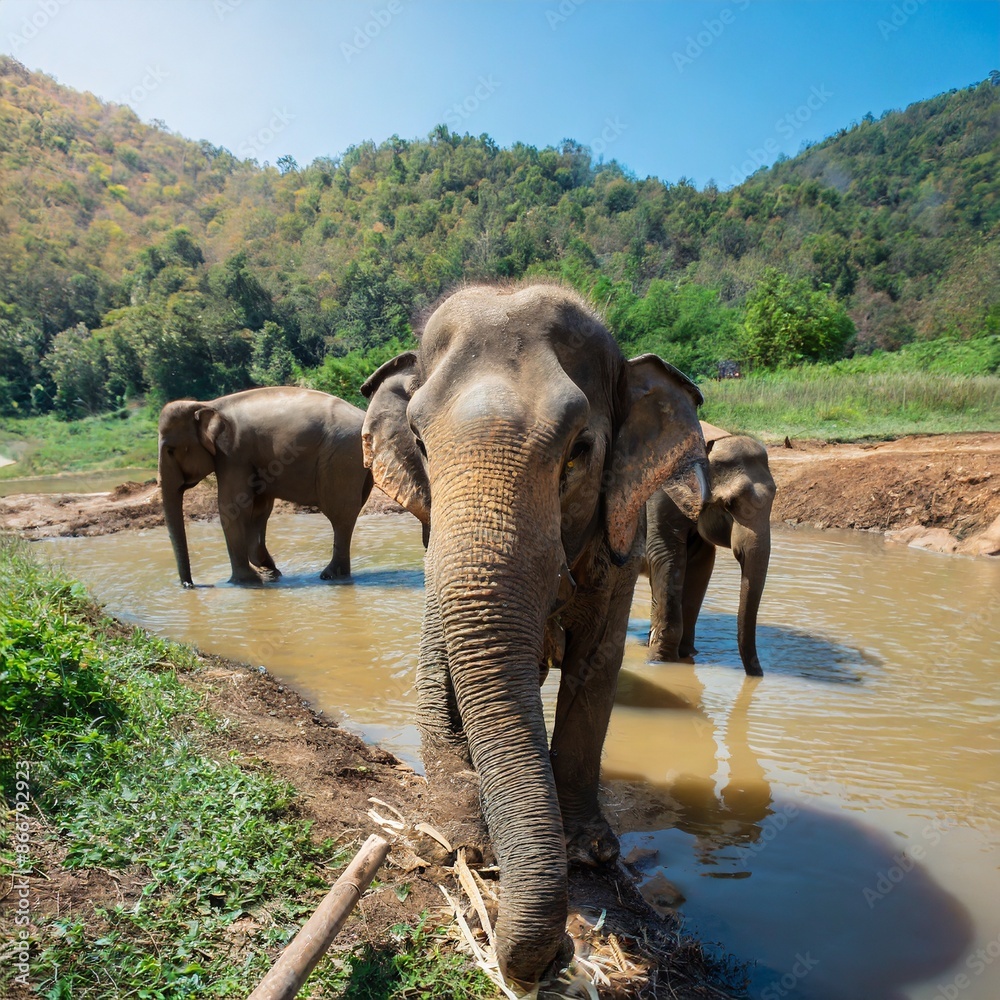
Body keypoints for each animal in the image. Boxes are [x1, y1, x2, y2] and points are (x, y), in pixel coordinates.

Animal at [158, 387, 373, 587]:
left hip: (340, 458)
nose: (190, 585)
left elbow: (233, 507)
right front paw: (270, 572)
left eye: (170, 450)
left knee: (339, 515)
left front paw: (244, 582)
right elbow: (259, 508)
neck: (205, 404)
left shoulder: (233, 454)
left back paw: (329, 576)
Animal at [360, 283, 708, 988]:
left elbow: (596, 665)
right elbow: (440, 659)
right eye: (420, 443)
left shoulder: (620, 540)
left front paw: (593, 854)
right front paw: (463, 841)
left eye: (579, 451)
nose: (562, 954)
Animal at [645, 422, 776, 676]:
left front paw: (687, 655)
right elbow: (666, 557)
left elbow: (701, 564)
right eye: (729, 504)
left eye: (774, 497)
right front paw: (661, 664)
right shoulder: (659, 496)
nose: (759, 675)